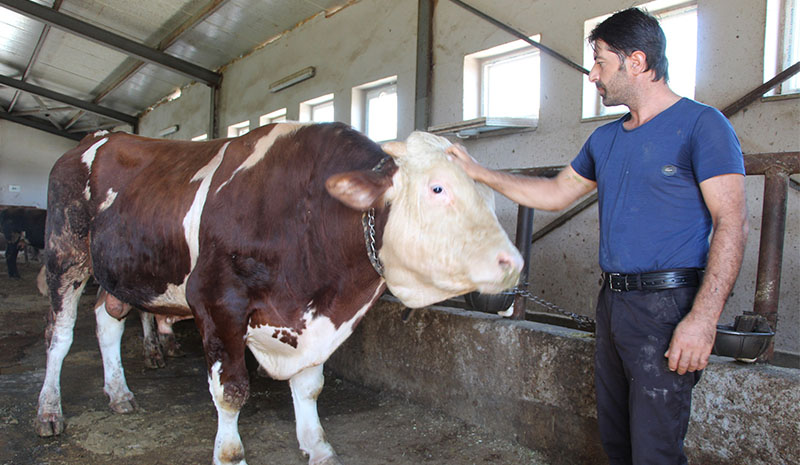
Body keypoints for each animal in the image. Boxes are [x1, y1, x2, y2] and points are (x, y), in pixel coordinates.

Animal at [37, 122, 520, 464]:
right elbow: (231, 391)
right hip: (66, 256)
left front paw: (318, 447)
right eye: (437, 188)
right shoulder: (215, 301)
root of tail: (98, 136)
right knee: (59, 337)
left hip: (119, 272)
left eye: (491, 197)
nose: (512, 262)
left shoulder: (317, 318)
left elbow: (309, 386)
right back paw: (49, 411)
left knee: (106, 321)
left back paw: (119, 393)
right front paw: (230, 455)